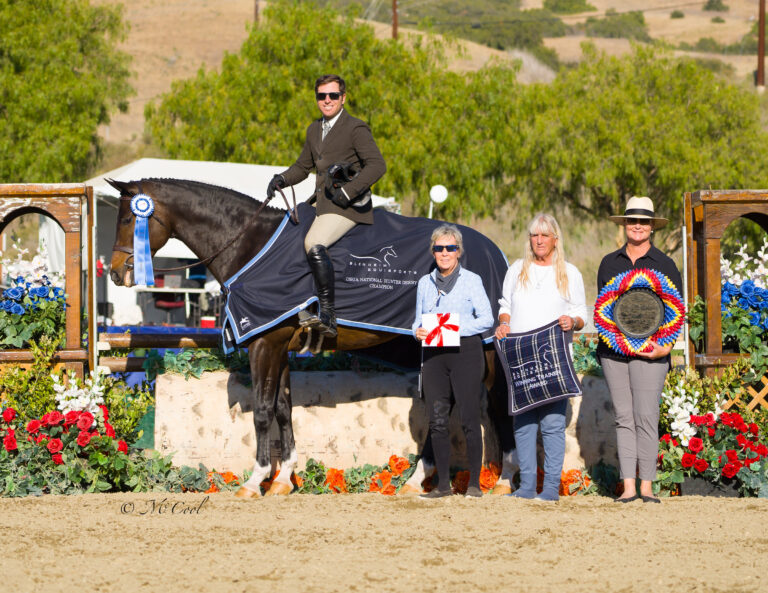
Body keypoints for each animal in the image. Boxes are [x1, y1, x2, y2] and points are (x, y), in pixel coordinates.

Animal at [108, 178, 516, 498]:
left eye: (129, 218)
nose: (114, 273)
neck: (250, 245)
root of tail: (495, 251)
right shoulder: (279, 345)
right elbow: (283, 408)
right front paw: (283, 478)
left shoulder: (265, 343)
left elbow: (262, 410)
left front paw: (255, 480)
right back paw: (424, 479)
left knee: (494, 401)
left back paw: (501, 478)